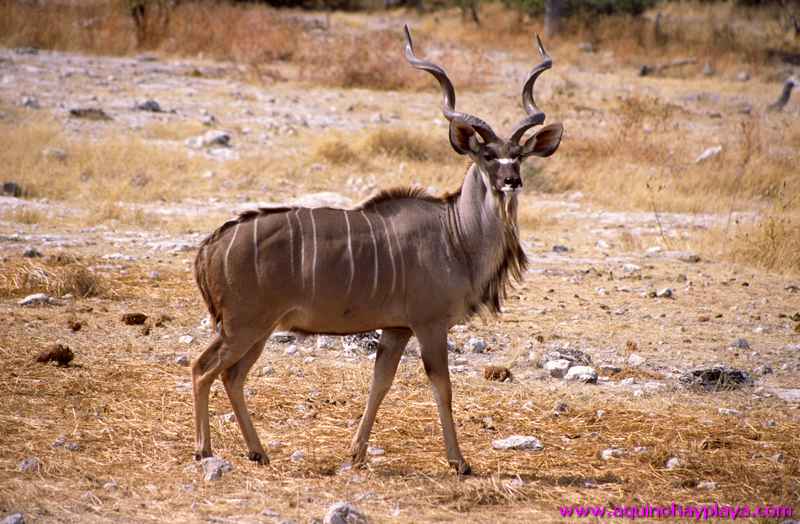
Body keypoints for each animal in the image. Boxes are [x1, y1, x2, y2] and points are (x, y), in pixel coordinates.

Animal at [192, 25, 564, 474]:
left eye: (520, 156)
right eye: (488, 155)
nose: (511, 180)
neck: (456, 236)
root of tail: (210, 247)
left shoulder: (396, 328)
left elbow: (380, 383)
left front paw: (356, 455)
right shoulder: (428, 324)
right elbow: (442, 388)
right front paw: (459, 462)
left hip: (259, 329)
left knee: (233, 376)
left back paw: (258, 452)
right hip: (242, 325)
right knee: (202, 368)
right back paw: (204, 450)